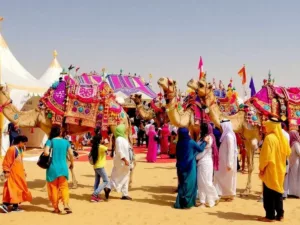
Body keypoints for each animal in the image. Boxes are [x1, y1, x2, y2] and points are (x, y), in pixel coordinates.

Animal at [0, 73, 132, 188]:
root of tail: (125, 114)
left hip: (118, 127)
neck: (37, 115)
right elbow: (68, 158)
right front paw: (73, 183)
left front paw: (48, 185)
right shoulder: (62, 133)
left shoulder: (51, 129)